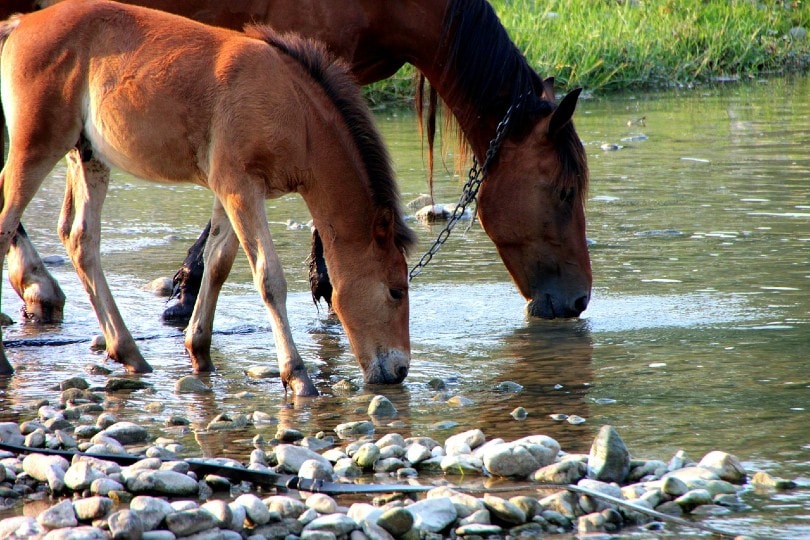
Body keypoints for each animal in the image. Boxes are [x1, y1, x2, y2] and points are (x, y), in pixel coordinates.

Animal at [0, 0, 416, 396]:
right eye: (396, 290)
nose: (399, 370)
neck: (295, 110)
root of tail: (20, 23)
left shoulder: (230, 192)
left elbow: (218, 263)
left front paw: (199, 352)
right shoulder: (240, 189)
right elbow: (269, 278)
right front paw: (297, 376)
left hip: (87, 157)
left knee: (80, 238)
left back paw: (129, 353)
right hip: (35, 148)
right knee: (9, 223)